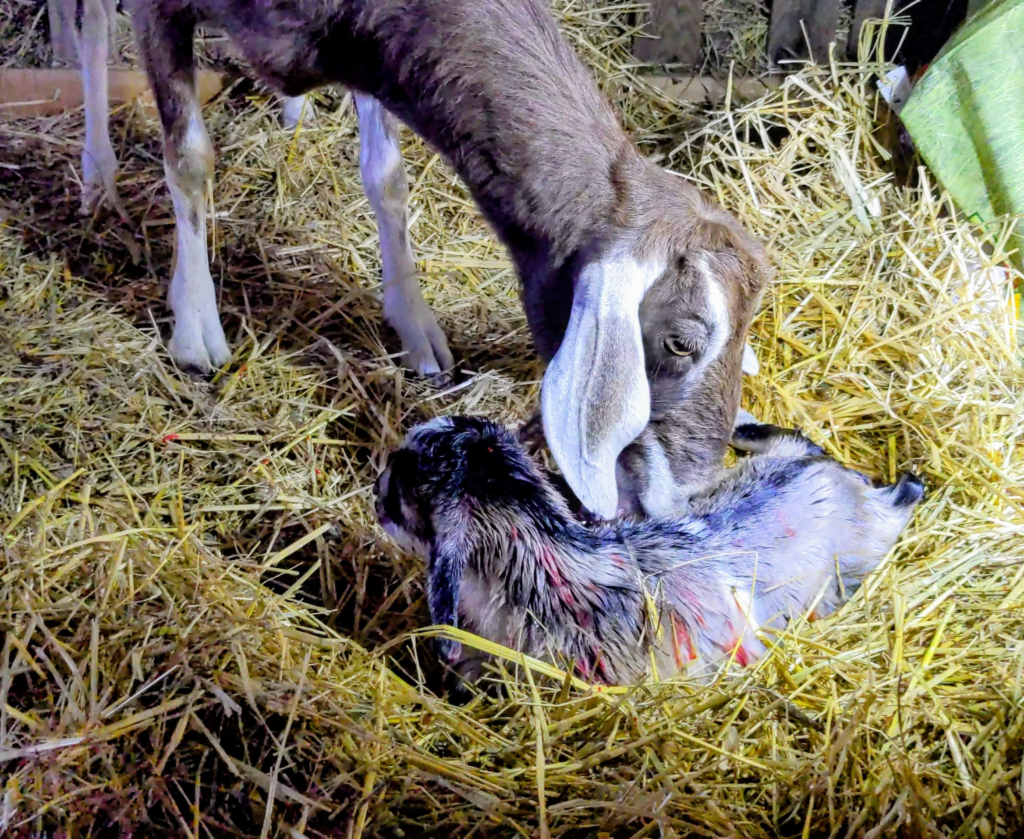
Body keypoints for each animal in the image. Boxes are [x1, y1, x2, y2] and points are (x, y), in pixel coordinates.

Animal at [68, 0, 772, 520]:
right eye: (681, 342)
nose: (688, 498)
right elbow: (189, 158)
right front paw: (195, 323)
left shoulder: (372, 49)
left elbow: (387, 176)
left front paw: (413, 325)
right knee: (88, 25)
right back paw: (98, 177)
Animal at [375, 415, 924, 686]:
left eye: (405, 483)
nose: (377, 494)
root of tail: (827, 477)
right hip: (789, 460)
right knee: (796, 440)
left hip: (868, 539)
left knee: (900, 499)